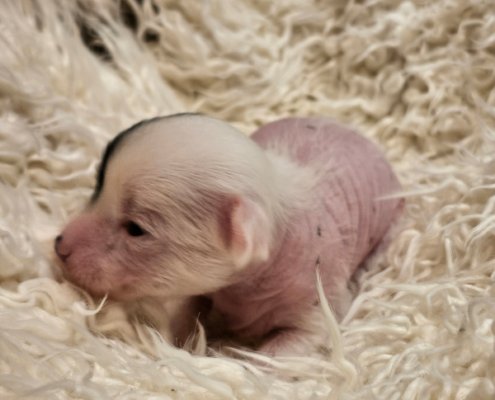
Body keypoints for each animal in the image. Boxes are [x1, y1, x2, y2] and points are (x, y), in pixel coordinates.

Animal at [55, 113, 404, 356]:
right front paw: (182, 345)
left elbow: (288, 347)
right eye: (98, 188)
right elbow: (188, 310)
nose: (59, 246)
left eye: (135, 229)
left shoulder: (319, 298)